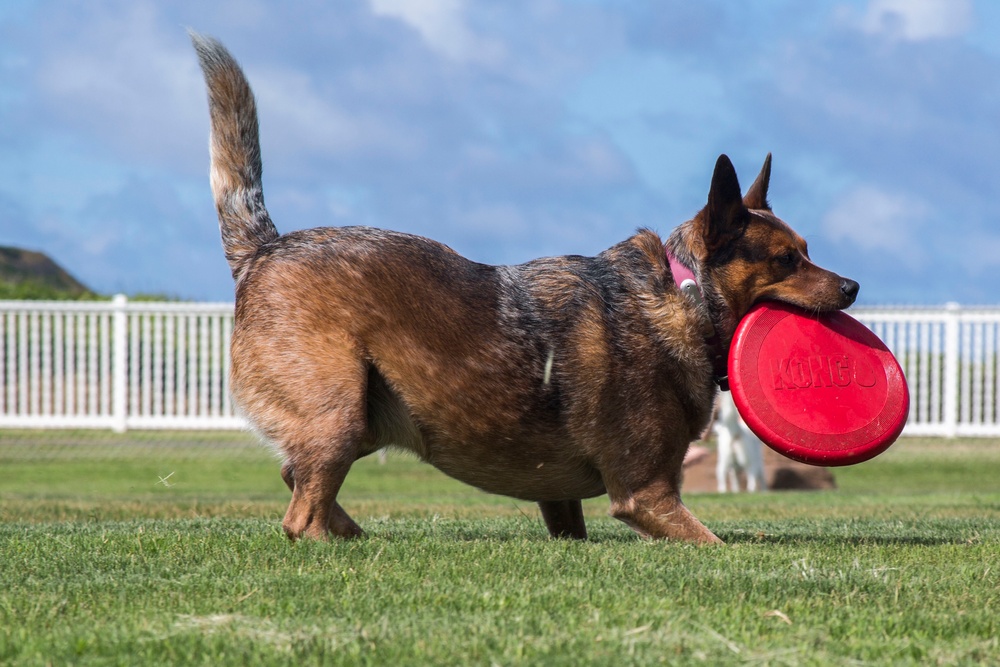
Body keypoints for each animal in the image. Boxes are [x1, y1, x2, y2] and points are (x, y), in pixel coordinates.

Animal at [189, 35, 860, 544]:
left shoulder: (562, 500)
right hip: (339, 414)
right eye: (786, 260)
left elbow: (572, 528)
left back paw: (352, 531)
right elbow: (716, 545)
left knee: (295, 478)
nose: (853, 285)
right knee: (298, 516)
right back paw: (339, 541)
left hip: (363, 420)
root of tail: (264, 247)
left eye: (808, 249)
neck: (682, 297)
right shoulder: (647, 495)